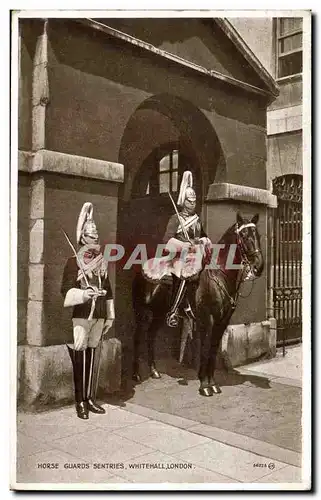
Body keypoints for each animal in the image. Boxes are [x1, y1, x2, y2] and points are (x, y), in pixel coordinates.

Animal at [130, 211, 262, 394]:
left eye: (258, 235)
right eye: (244, 235)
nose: (258, 266)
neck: (220, 275)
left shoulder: (222, 322)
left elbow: (213, 350)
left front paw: (212, 383)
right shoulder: (208, 320)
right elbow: (205, 350)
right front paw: (204, 385)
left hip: (159, 314)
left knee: (150, 336)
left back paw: (154, 371)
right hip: (142, 312)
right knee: (138, 337)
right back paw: (136, 374)